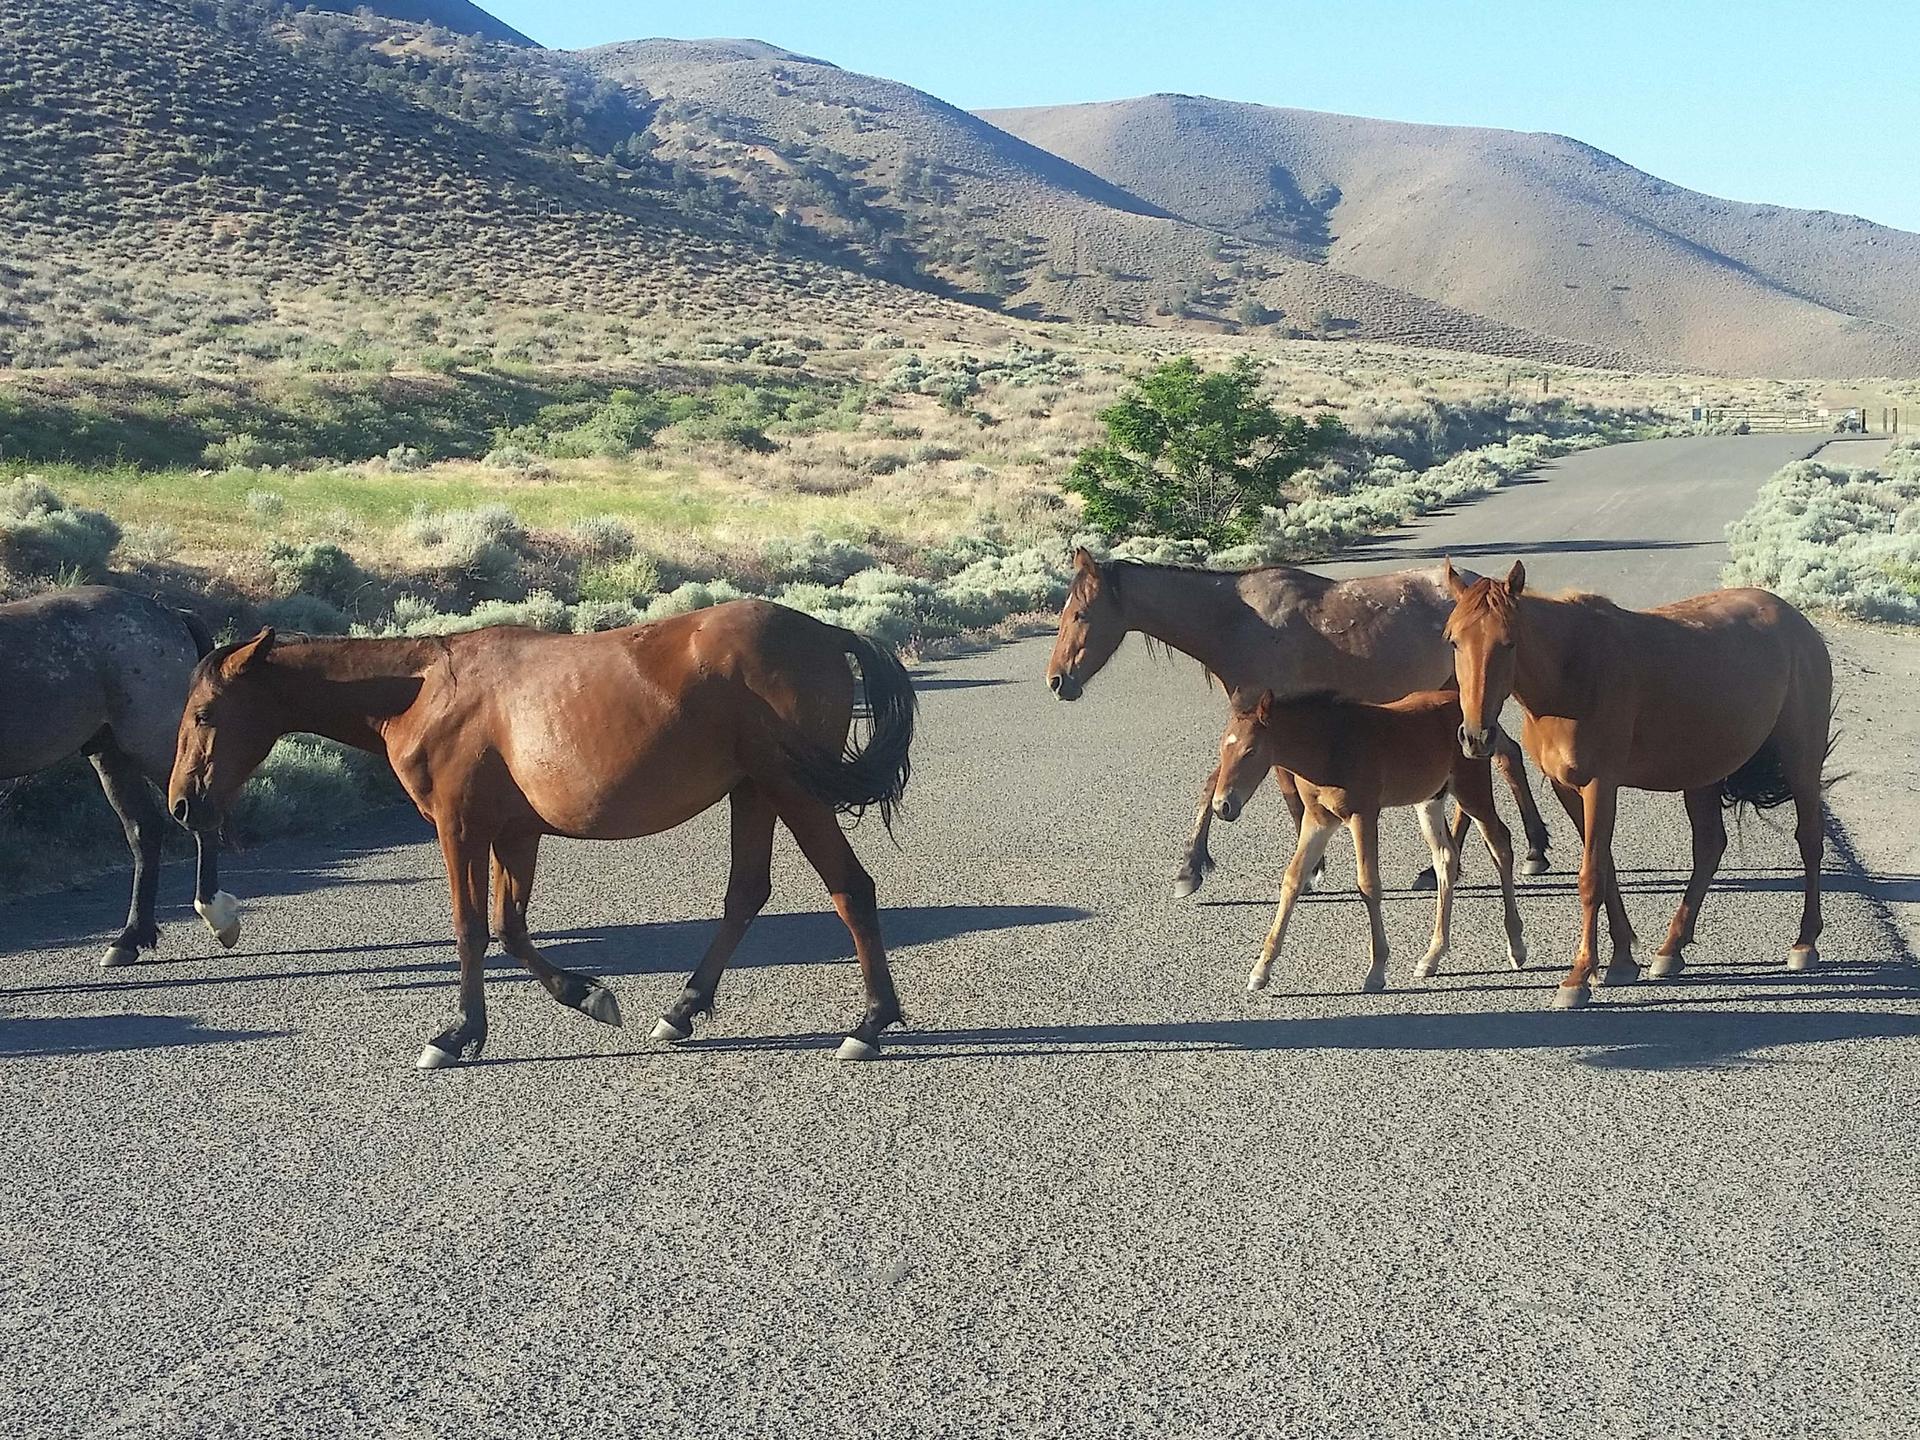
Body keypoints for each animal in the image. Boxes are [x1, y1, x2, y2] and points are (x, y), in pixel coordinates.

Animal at [0, 586, 239, 966]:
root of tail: (172, 614)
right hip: (110, 754)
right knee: (144, 830)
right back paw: (130, 938)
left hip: (152, 746)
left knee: (196, 819)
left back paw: (216, 917)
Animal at [167, 599, 917, 1067]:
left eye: (203, 714)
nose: (179, 805)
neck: (423, 689)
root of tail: (827, 631)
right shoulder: (513, 834)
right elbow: (510, 929)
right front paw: (588, 995)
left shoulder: (460, 827)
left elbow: (471, 928)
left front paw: (457, 1034)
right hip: (755, 792)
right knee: (745, 895)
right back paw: (682, 1009)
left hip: (792, 791)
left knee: (849, 887)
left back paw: (871, 1024)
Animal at [1045, 549, 1552, 893]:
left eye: (1081, 614)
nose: (1056, 680)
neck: (1237, 622)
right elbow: (1269, 784)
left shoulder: (1259, 715)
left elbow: (1229, 784)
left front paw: (1191, 868)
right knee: (1499, 755)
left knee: (1499, 756)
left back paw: (1525, 849)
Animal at [1212, 688, 1528, 995]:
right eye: (1222, 749)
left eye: (1250, 751)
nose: (1221, 806)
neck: (1328, 745)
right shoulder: (1317, 821)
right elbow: (1293, 880)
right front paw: (1260, 971)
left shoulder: (1363, 816)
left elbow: (1368, 885)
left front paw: (1376, 972)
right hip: (1429, 800)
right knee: (1445, 858)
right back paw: (1432, 956)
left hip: (1472, 791)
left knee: (1501, 845)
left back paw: (1516, 946)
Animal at [1445, 560, 1833, 1009]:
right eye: (1454, 641)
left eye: (1508, 643)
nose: (1476, 737)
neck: (1573, 670)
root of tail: (1797, 622)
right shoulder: (1567, 788)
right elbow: (1607, 869)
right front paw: (1621, 961)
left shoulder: (1601, 784)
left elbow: (1591, 876)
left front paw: (1579, 976)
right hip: (1702, 773)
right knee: (1709, 848)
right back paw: (1671, 949)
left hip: (1801, 759)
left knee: (1809, 840)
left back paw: (1805, 943)